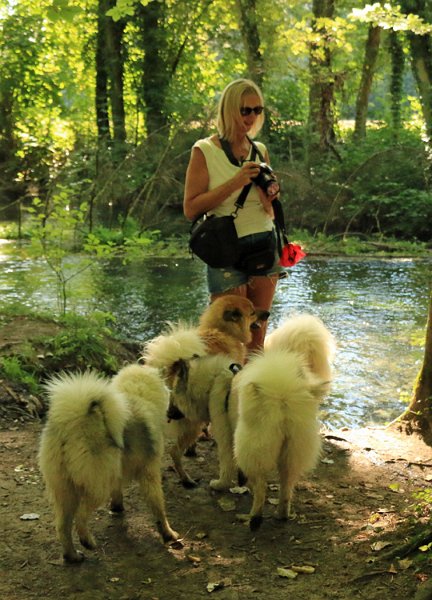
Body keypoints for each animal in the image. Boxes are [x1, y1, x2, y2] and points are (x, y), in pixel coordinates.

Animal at [38, 364, 178, 564]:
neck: (138, 393)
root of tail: (73, 423)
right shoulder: (149, 473)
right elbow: (158, 507)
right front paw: (168, 535)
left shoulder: (117, 473)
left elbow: (117, 491)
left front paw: (117, 507)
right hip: (97, 486)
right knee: (81, 516)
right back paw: (87, 541)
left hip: (64, 489)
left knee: (63, 526)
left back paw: (73, 556)